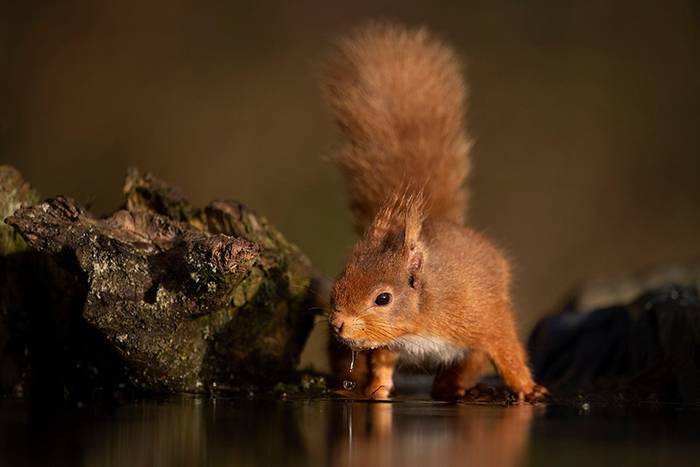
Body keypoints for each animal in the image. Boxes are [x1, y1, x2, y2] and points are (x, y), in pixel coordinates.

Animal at [322, 22, 547, 401]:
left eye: (383, 298)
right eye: (338, 282)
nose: (338, 324)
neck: (419, 321)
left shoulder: (480, 314)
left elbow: (505, 348)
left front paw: (528, 388)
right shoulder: (389, 343)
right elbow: (382, 362)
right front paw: (375, 391)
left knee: (470, 362)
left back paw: (453, 385)